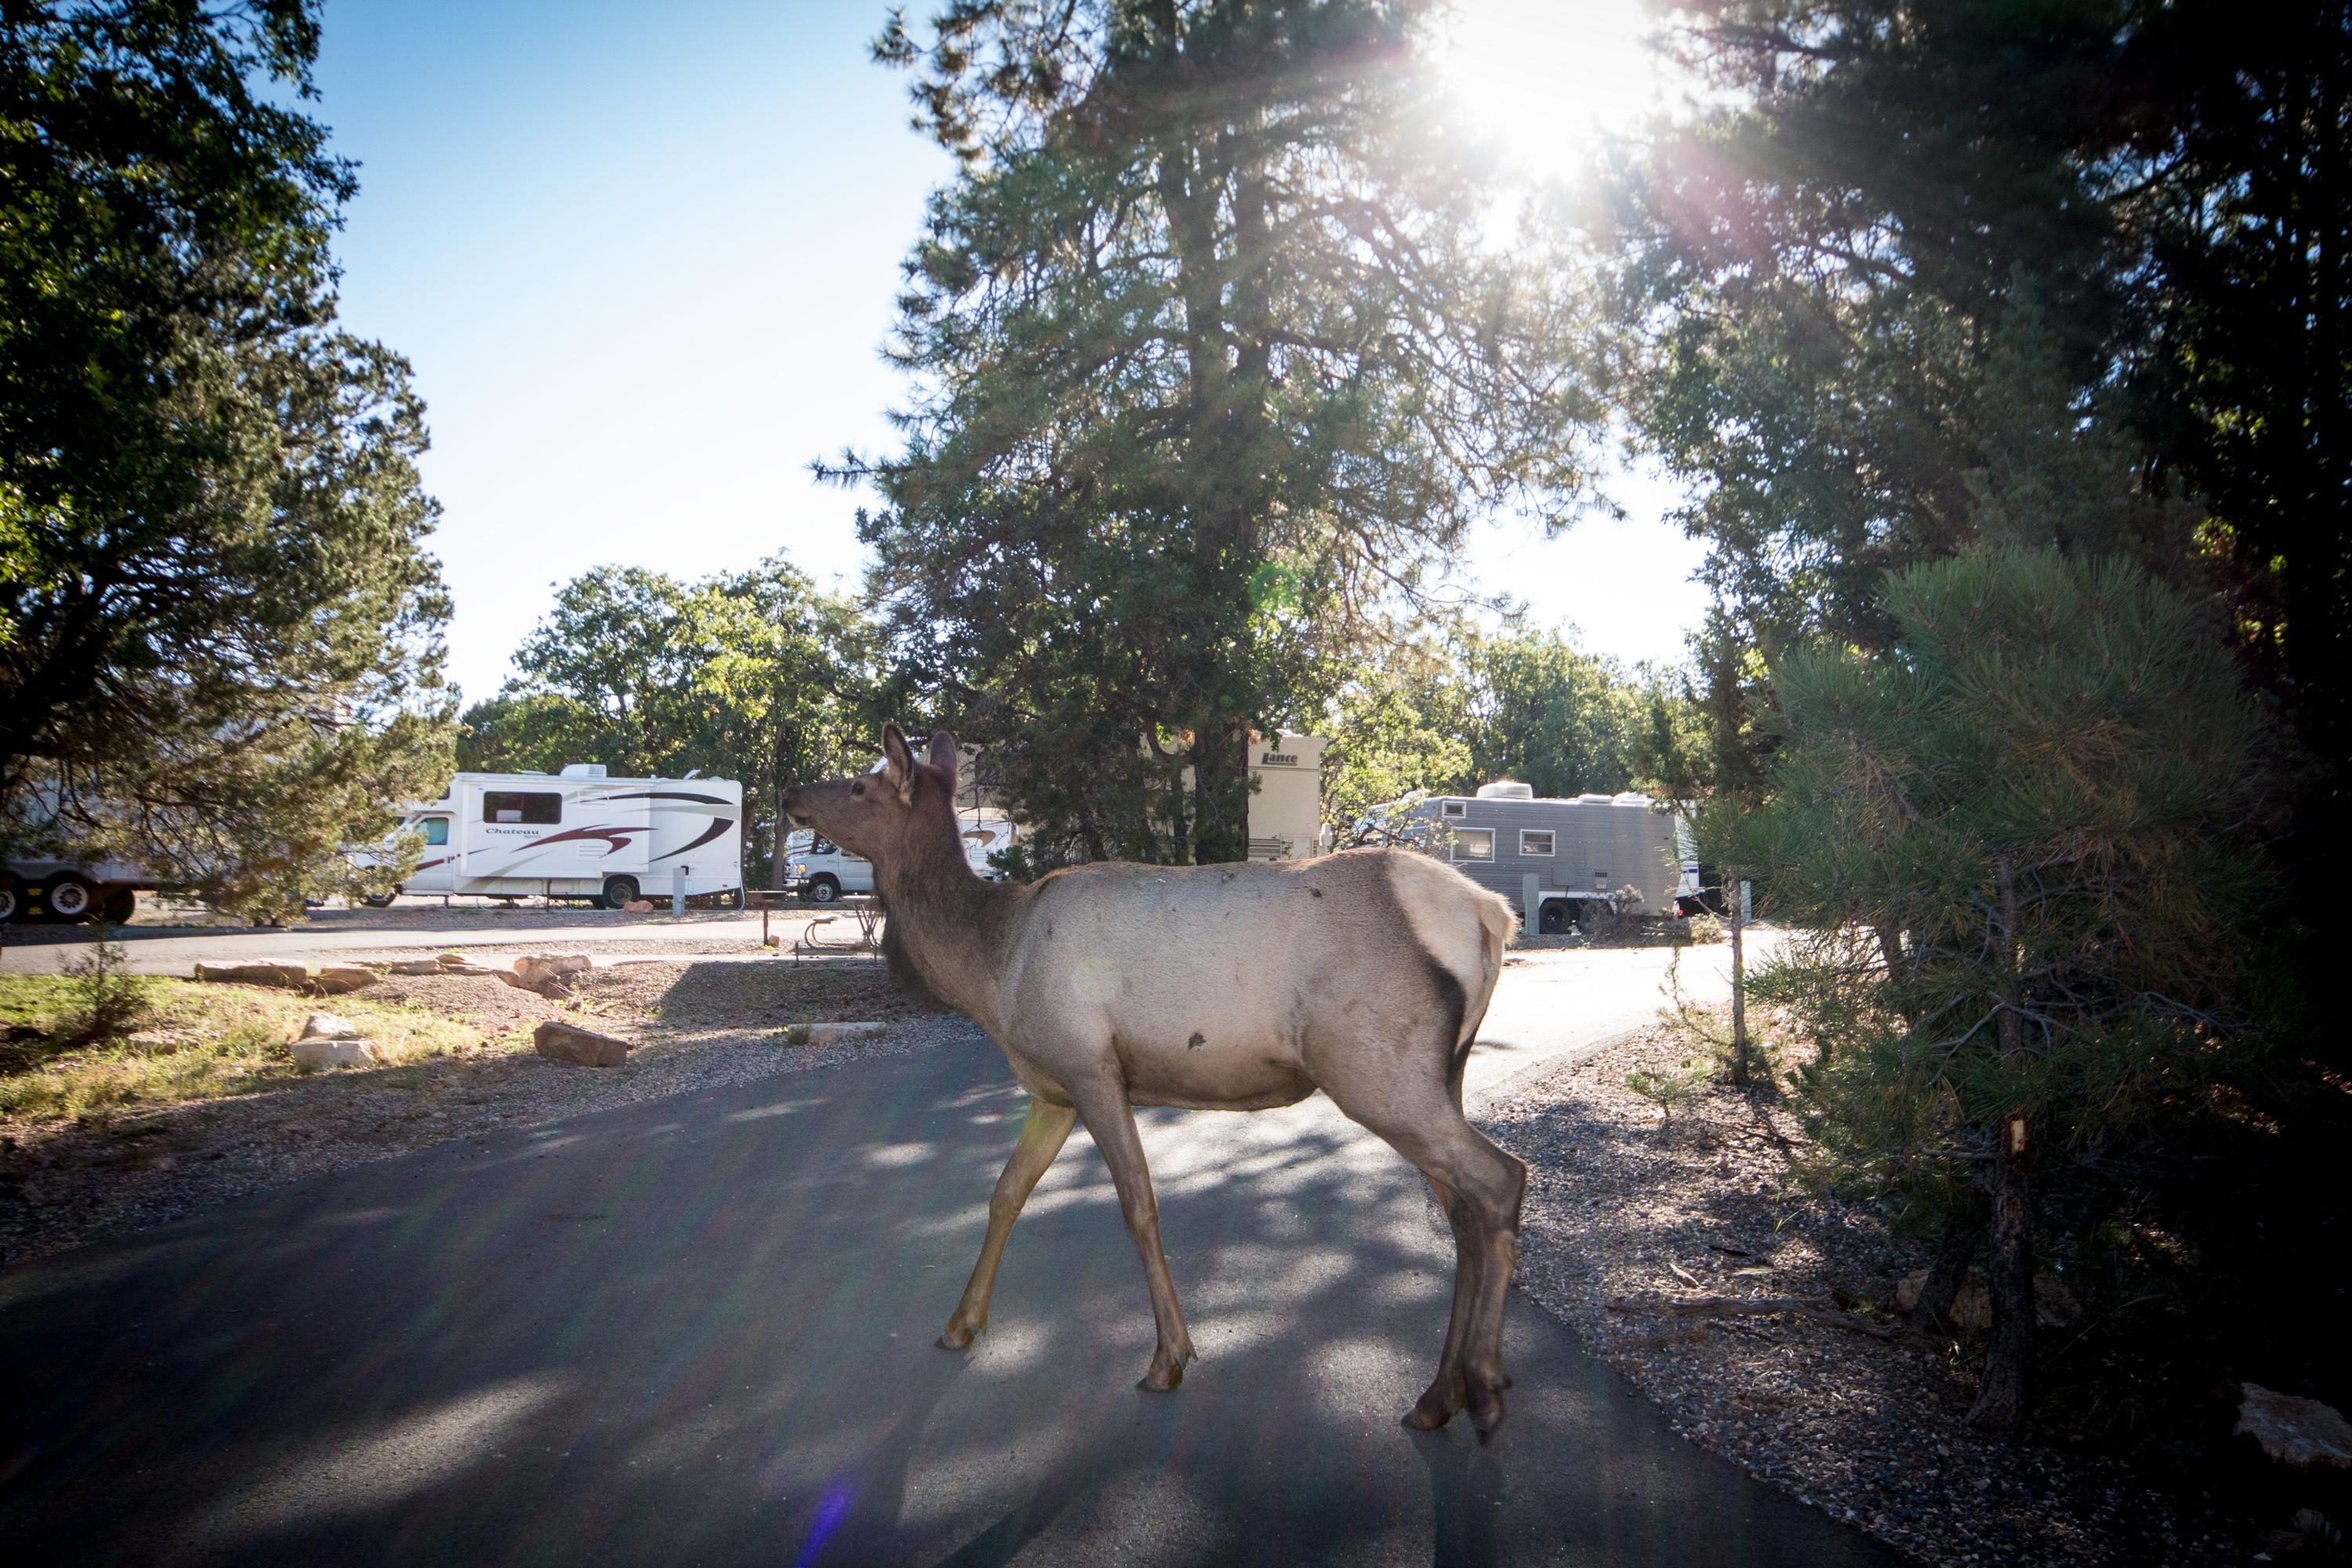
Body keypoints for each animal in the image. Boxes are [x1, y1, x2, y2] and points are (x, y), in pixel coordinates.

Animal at [781, 728, 1534, 1439]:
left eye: (859, 784)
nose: (791, 792)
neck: (992, 971)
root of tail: (1492, 916)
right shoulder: (1051, 1089)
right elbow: (1005, 1195)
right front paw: (960, 1323)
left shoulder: (1091, 1066)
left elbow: (1138, 1206)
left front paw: (1169, 1357)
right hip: (1439, 1073)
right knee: (1462, 1207)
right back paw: (1438, 1397)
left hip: (1373, 1066)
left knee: (1500, 1177)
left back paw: (1485, 1387)